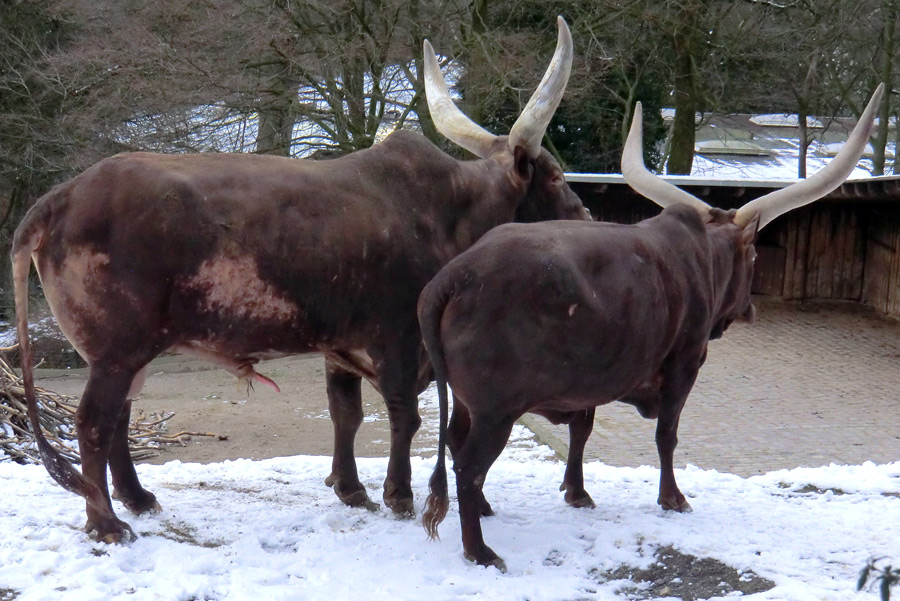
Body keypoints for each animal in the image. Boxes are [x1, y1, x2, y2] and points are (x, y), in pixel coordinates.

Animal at [14, 17, 592, 544]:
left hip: (124, 355)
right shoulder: (399, 339)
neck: (447, 214)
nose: (585, 214)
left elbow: (347, 415)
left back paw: (137, 498)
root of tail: (61, 196)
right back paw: (106, 522)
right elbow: (404, 417)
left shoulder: (343, 346)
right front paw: (398, 494)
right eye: (556, 175)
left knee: (118, 421)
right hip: (116, 352)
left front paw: (351, 488)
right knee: (93, 424)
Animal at [418, 83, 884, 568]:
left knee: (455, 442)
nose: (749, 309)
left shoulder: (595, 376)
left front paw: (578, 492)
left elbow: (582, 429)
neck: (699, 254)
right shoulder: (684, 364)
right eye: (754, 255)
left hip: (469, 402)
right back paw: (479, 550)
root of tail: (454, 277)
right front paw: (673, 498)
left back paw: (484, 510)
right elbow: (667, 434)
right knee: (468, 466)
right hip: (496, 410)